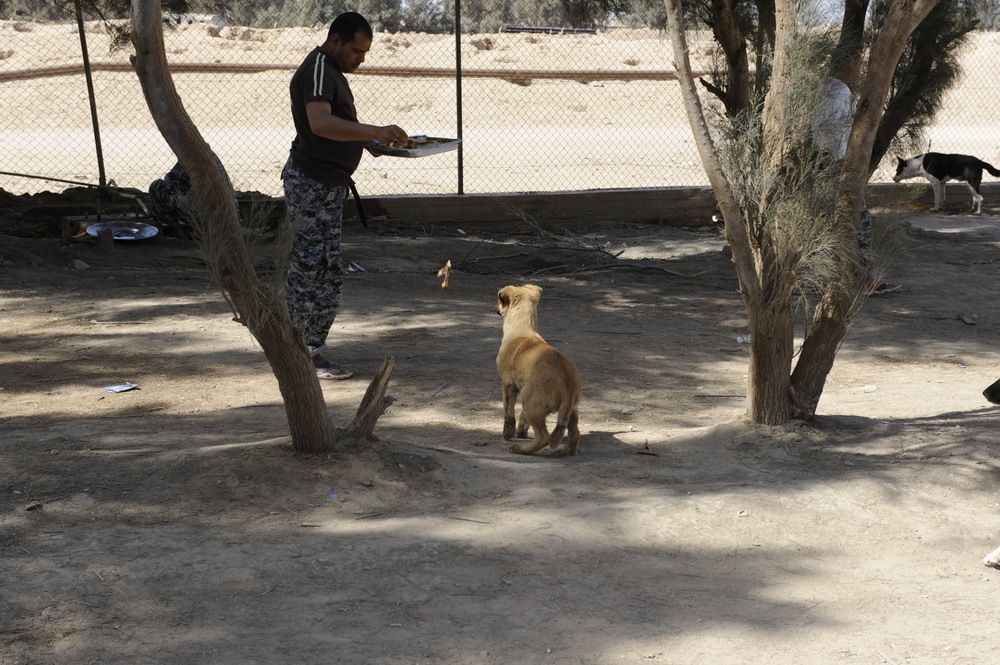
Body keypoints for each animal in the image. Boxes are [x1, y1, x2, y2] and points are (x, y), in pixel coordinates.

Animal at [494, 282, 584, 454]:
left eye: (499, 300)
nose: (494, 308)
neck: (522, 330)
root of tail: (568, 385)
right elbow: (522, 419)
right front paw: (521, 432)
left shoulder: (507, 385)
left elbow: (508, 413)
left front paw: (507, 435)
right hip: (570, 410)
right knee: (575, 433)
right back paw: (566, 451)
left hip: (529, 401)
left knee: (544, 437)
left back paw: (520, 448)